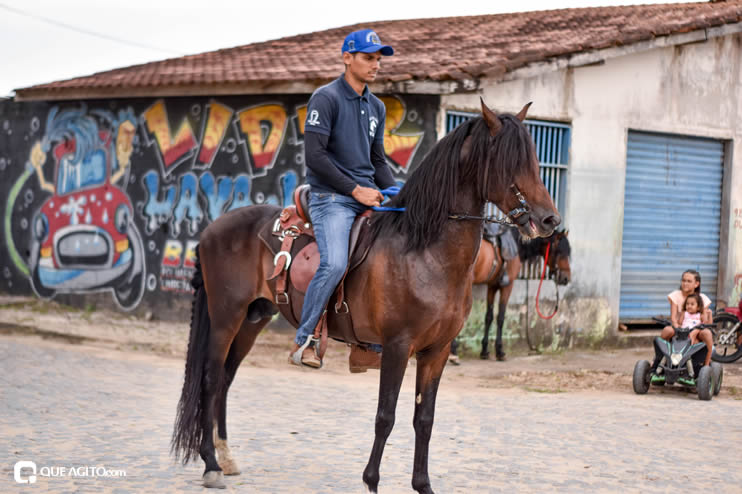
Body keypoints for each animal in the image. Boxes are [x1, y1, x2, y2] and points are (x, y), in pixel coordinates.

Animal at [171, 98, 560, 492]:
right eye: (509, 162)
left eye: (533, 160)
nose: (549, 220)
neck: (424, 251)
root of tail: (211, 230)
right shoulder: (398, 346)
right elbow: (385, 416)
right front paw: (371, 481)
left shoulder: (437, 350)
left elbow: (424, 418)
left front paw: (423, 484)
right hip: (226, 317)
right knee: (210, 379)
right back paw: (211, 464)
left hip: (254, 318)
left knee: (225, 379)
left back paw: (225, 457)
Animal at [474, 228, 572, 358]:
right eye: (560, 252)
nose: (566, 278)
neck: (516, 244)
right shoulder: (507, 287)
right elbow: (500, 317)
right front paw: (499, 351)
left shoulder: (492, 286)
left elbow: (488, 317)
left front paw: (484, 350)